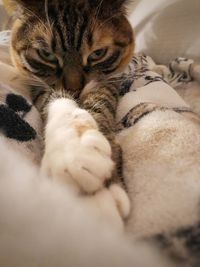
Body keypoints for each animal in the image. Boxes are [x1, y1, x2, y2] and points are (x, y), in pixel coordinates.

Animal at [9, 0, 134, 197]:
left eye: (98, 53)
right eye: (46, 55)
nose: (74, 89)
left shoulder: (111, 78)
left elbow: (100, 102)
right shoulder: (36, 82)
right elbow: (55, 99)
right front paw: (73, 152)